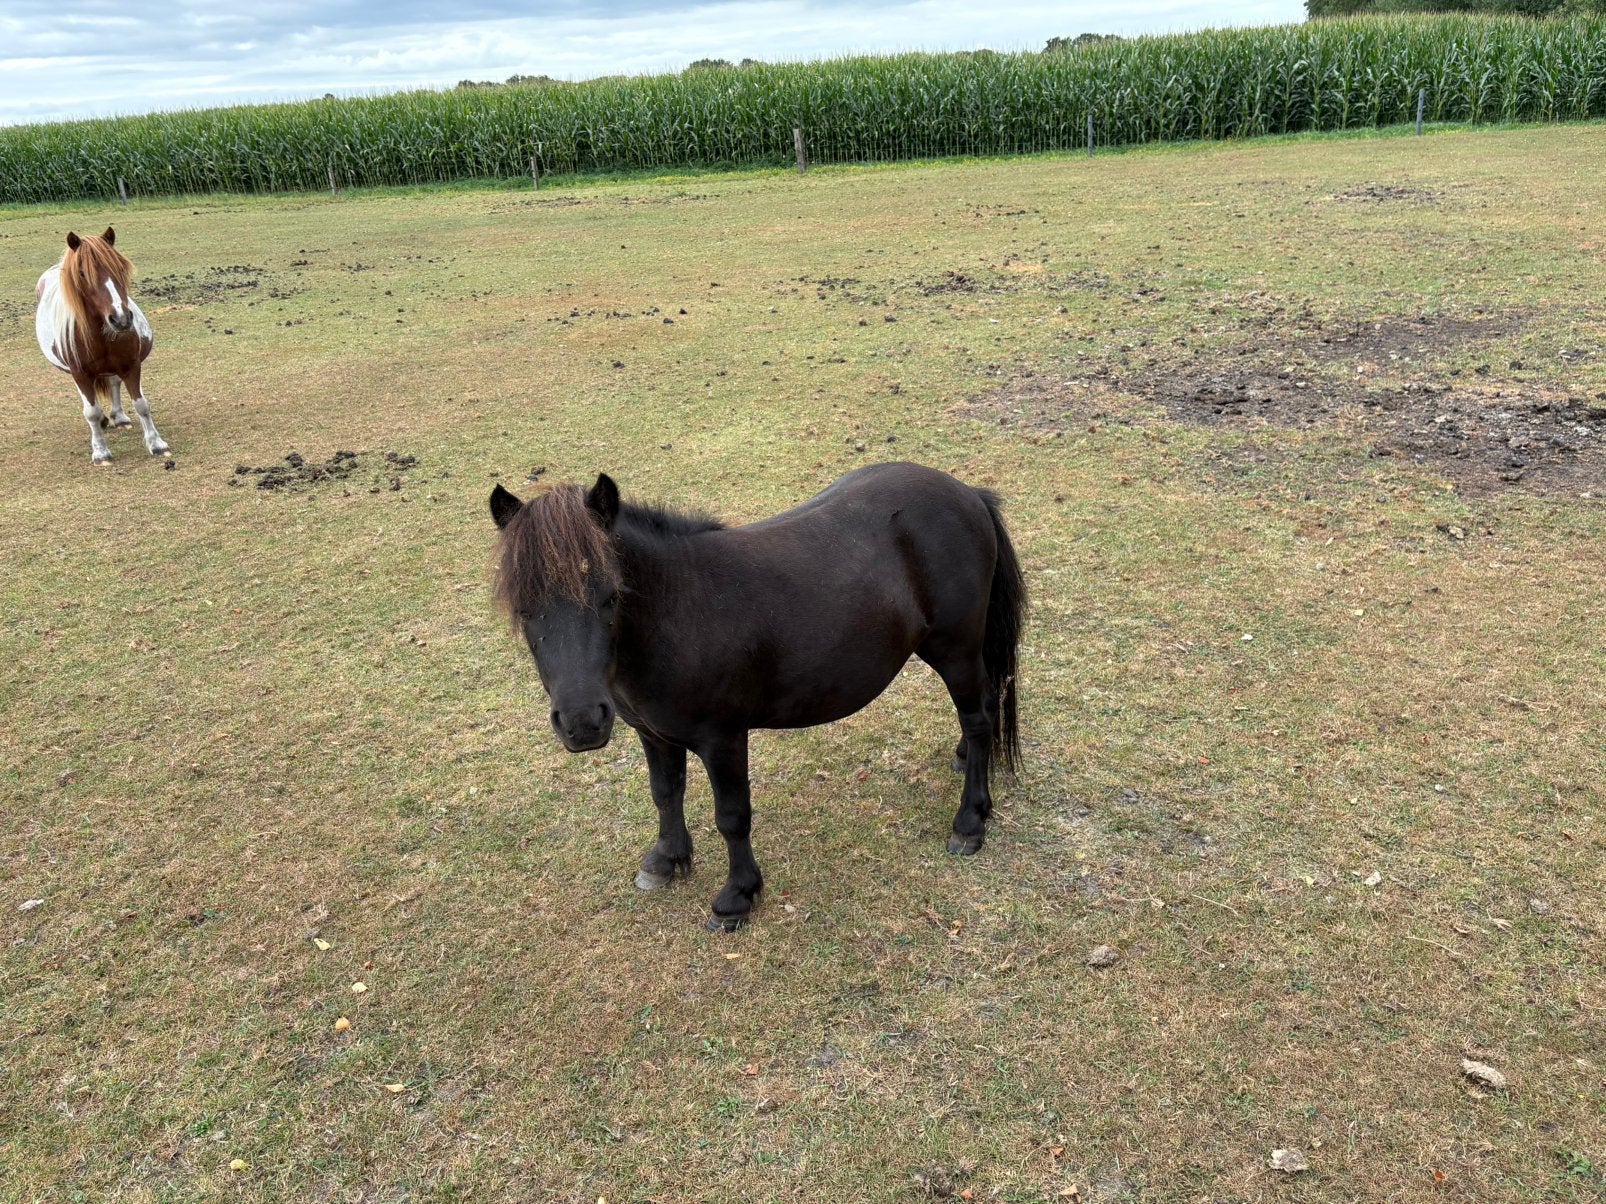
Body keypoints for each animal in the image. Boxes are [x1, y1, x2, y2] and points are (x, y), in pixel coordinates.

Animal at [34, 227, 169, 465]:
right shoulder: (80, 374)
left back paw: (119, 417)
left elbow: (141, 404)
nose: (121, 319)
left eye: (120, 267)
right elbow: (91, 412)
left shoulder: (131, 366)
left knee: (114, 383)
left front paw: (156, 444)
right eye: (82, 274)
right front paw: (100, 452)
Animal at [489, 461, 1026, 931]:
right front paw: (666, 860)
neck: (680, 611)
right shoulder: (654, 734)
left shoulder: (723, 740)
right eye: (524, 608)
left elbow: (732, 816)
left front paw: (737, 897)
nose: (581, 722)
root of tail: (966, 493)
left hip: (955, 649)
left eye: (611, 596)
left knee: (980, 720)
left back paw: (970, 822)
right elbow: (665, 792)